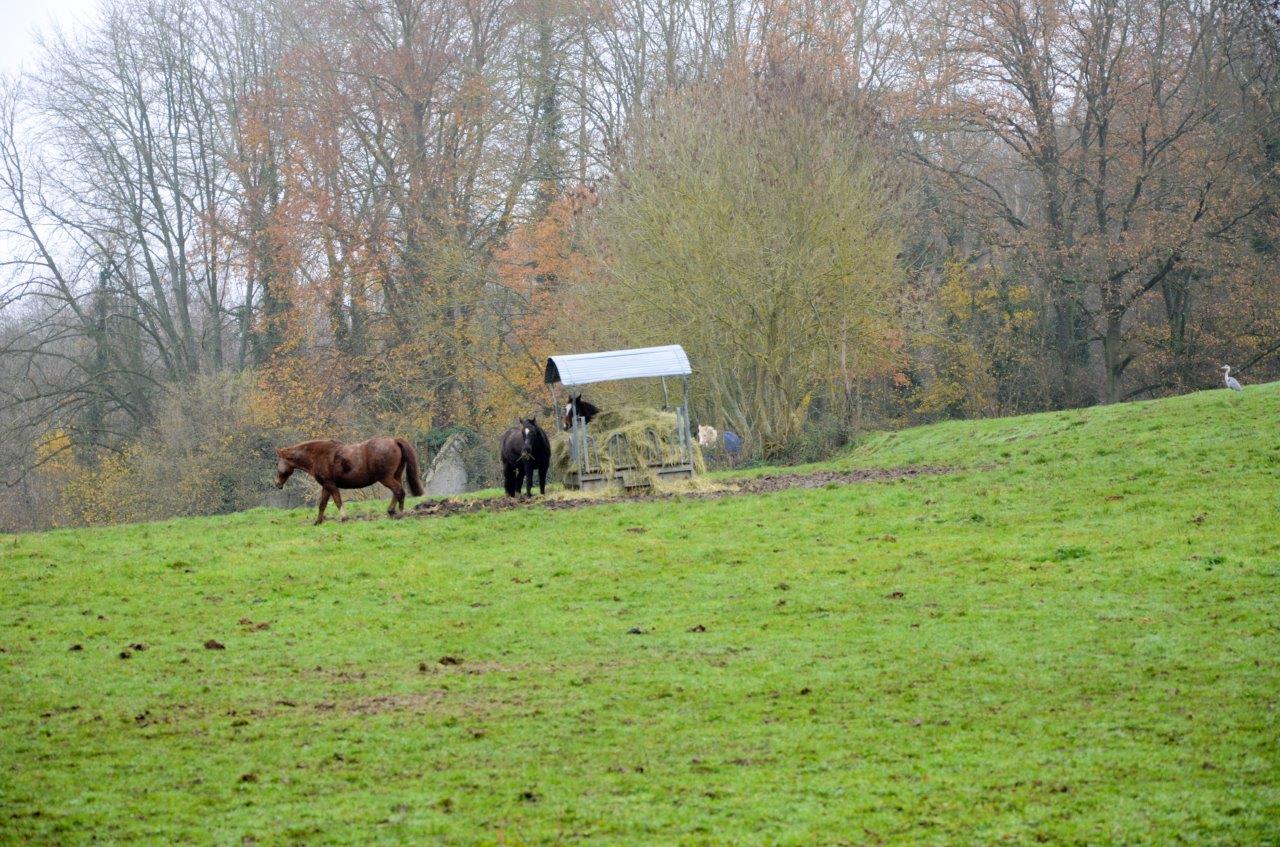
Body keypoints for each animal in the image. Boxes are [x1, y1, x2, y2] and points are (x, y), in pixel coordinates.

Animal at [276, 437, 424, 524]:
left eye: (278, 463)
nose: (277, 484)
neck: (318, 455)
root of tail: (394, 440)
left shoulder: (330, 485)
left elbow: (337, 501)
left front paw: (344, 518)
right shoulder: (326, 486)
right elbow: (322, 504)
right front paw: (318, 522)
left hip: (385, 478)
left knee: (399, 491)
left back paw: (400, 513)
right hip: (395, 475)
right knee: (397, 492)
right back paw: (392, 511)